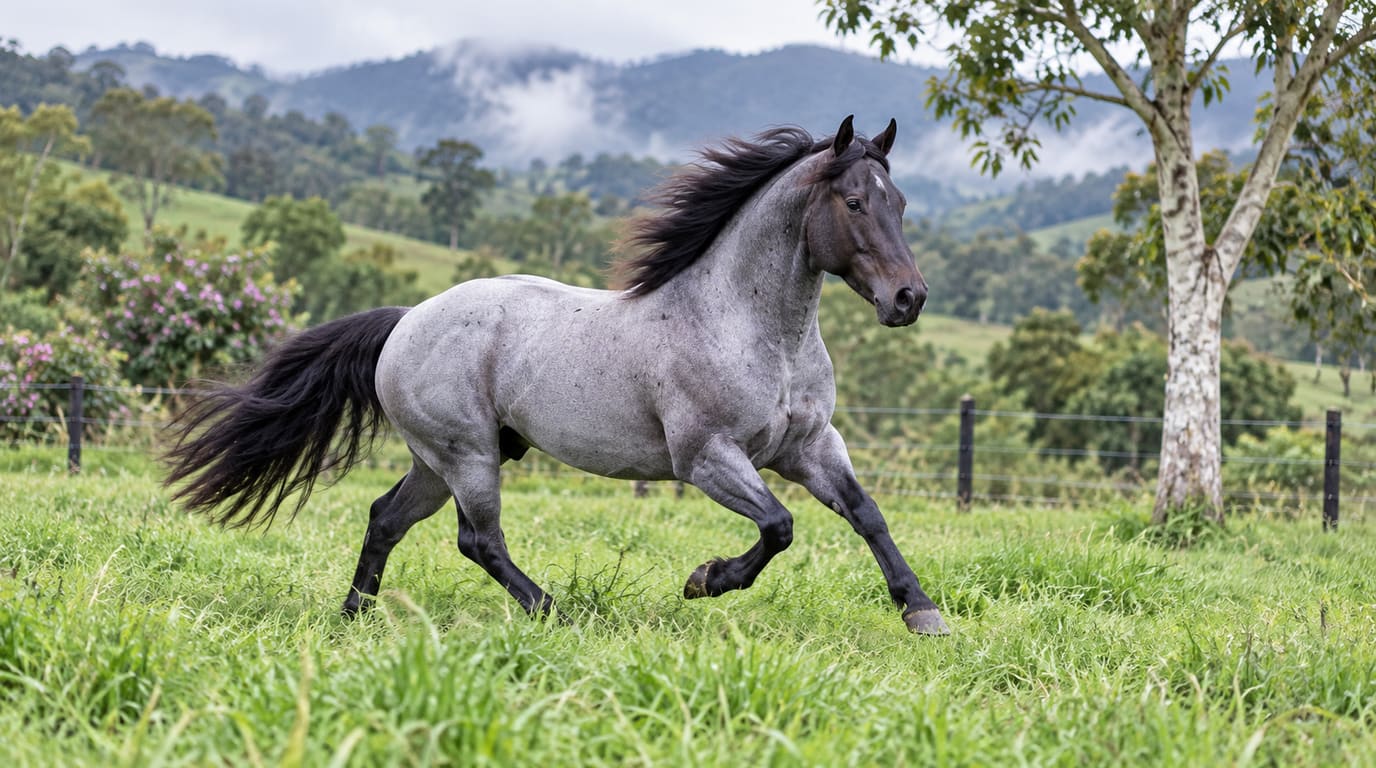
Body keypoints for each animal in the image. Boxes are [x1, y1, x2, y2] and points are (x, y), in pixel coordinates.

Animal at [163, 115, 950, 635]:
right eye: (854, 203)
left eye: (901, 203)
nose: (908, 299)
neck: (753, 330)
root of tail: (407, 319)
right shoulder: (707, 458)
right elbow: (780, 526)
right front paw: (705, 581)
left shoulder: (811, 447)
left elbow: (867, 514)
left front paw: (922, 611)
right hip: (468, 454)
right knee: (478, 540)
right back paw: (553, 611)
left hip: (438, 460)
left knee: (386, 517)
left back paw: (355, 616)